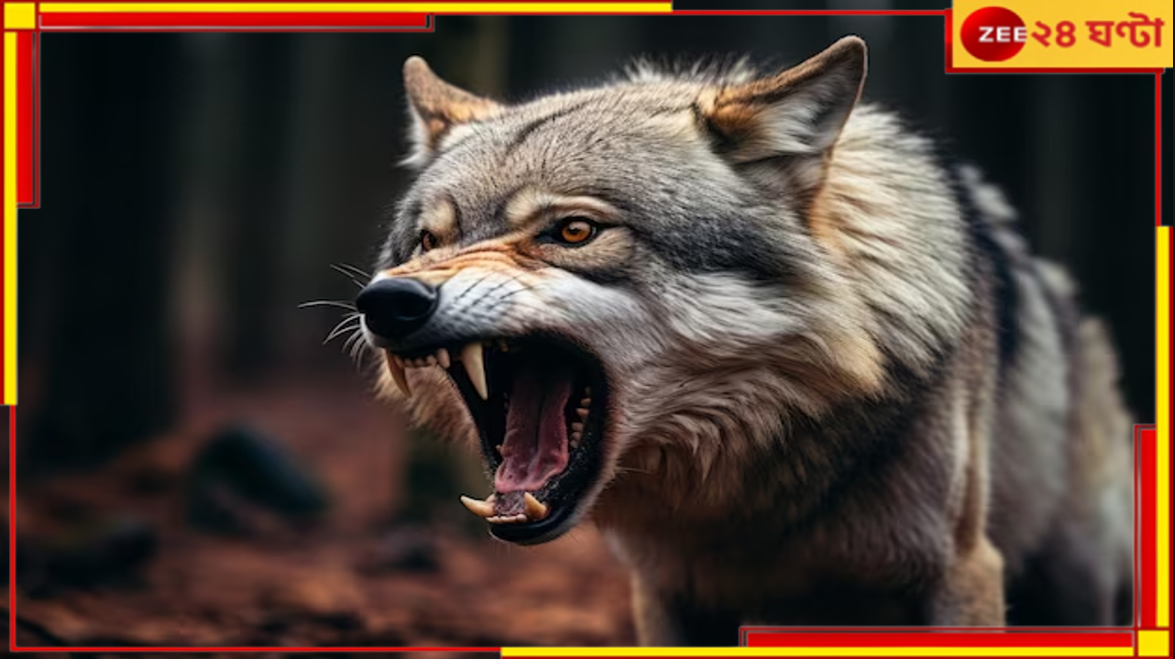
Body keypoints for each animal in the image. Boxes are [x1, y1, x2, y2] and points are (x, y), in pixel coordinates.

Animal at [355, 37, 1135, 644]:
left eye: (573, 231)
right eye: (429, 242)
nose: (388, 301)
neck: (749, 493)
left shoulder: (963, 571)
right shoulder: (665, 593)